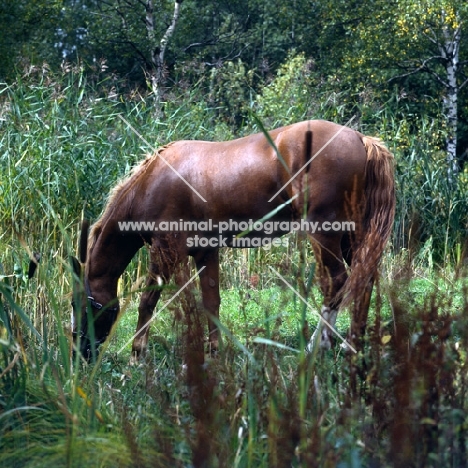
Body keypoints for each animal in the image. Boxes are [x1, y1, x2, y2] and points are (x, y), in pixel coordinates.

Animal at [71, 119, 394, 360]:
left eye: (82, 304)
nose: (79, 353)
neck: (152, 181)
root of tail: (361, 139)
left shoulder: (165, 252)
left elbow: (148, 300)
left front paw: (137, 353)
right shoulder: (206, 252)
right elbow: (211, 302)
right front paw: (214, 351)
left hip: (325, 234)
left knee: (336, 283)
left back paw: (320, 345)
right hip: (352, 237)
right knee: (364, 279)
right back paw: (352, 342)